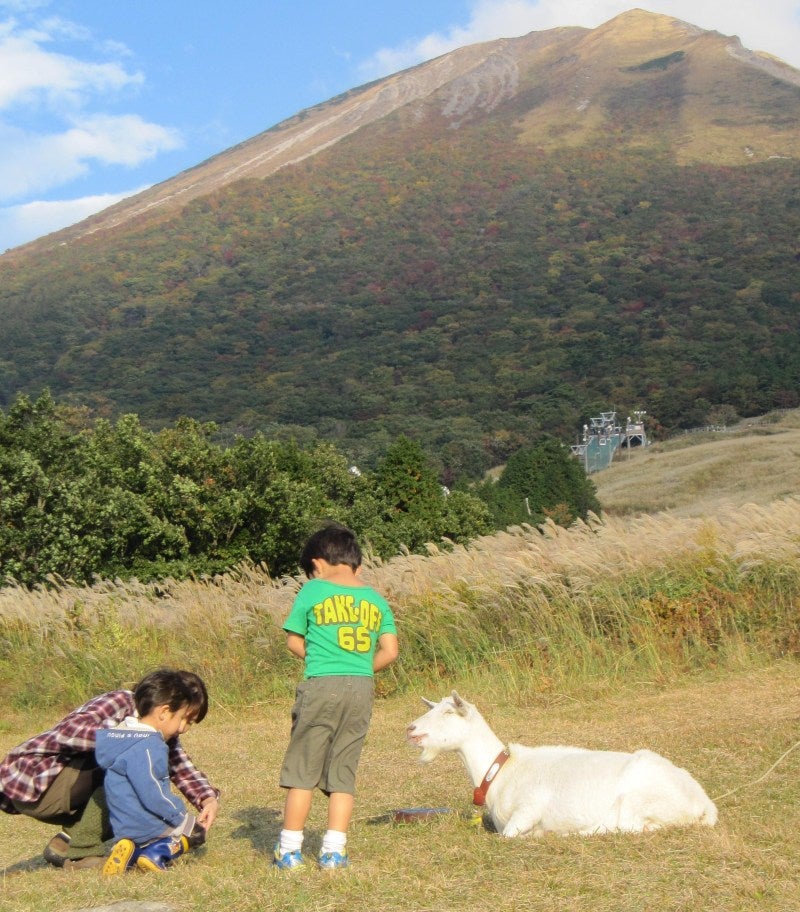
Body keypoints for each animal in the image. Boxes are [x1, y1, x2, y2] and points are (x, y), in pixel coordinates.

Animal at [406, 696, 720, 836]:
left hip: (639, 801)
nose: (411, 729)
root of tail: (703, 802)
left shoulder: (527, 811)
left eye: (448, 712)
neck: (502, 772)